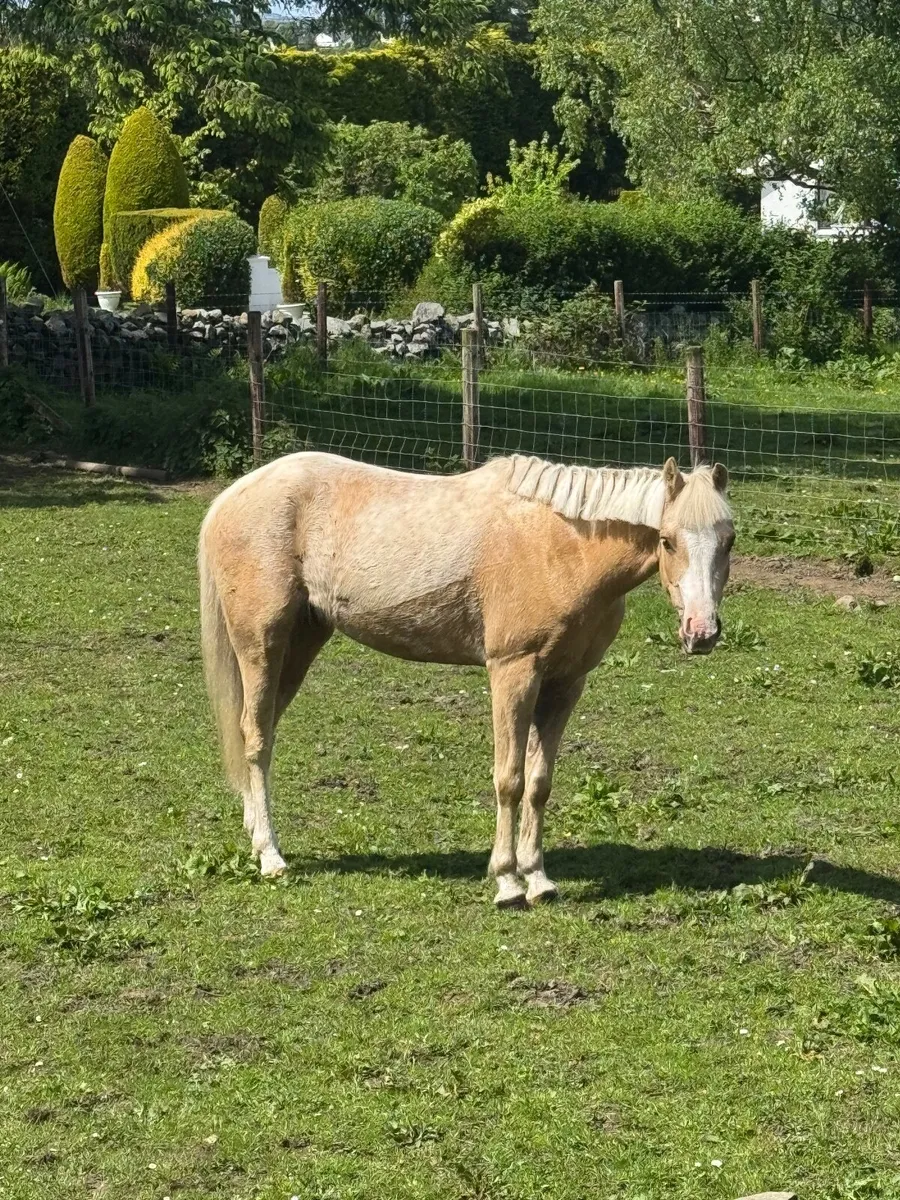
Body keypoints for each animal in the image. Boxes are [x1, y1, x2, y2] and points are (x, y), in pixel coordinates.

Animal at [198, 451, 734, 908]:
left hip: (302, 644)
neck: (561, 547)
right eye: (667, 540)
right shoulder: (513, 673)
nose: (702, 632)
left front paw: (538, 879)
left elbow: (539, 782)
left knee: (261, 733)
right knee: (255, 738)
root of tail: (232, 497)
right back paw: (271, 856)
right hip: (261, 646)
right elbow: (509, 780)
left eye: (728, 540)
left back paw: (255, 836)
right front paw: (508, 882)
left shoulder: (565, 684)